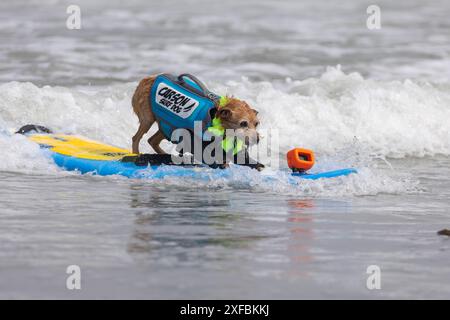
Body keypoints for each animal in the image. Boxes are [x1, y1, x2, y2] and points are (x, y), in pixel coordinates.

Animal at [130, 74, 260, 156]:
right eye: (243, 123)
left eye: (257, 124)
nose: (258, 139)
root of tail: (145, 80)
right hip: (148, 119)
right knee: (136, 138)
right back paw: (136, 154)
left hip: (166, 126)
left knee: (152, 140)